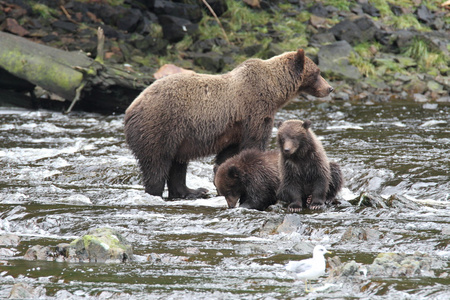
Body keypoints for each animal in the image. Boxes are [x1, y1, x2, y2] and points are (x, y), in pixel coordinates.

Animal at [125, 49, 332, 199]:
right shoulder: (255, 111)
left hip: (179, 136)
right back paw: (157, 192)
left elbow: (228, 154)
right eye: (317, 73)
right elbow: (255, 143)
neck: (274, 92)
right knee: (157, 163)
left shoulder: (234, 129)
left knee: (178, 163)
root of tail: (131, 108)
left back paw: (193, 191)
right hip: (161, 125)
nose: (329, 88)